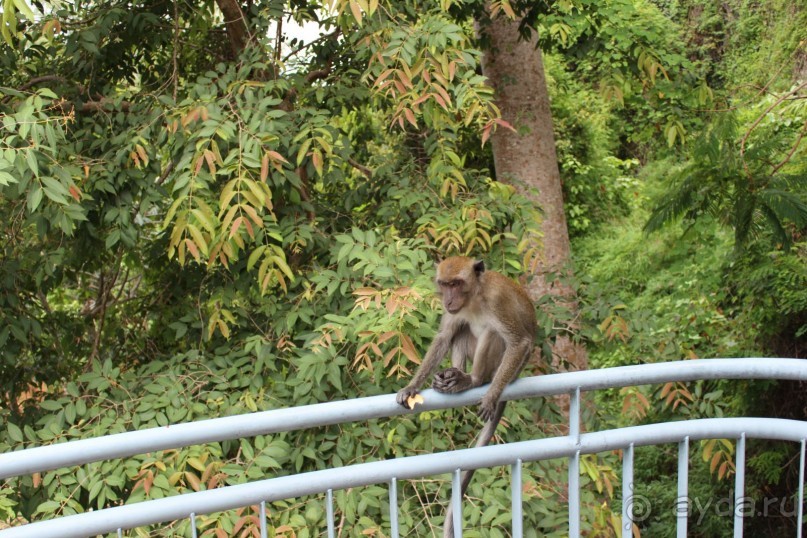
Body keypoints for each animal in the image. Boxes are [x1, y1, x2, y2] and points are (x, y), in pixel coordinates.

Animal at [396, 253, 536, 532]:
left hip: (503, 368)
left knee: (493, 335)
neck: (474, 297)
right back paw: (453, 375)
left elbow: (519, 342)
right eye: (445, 284)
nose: (449, 299)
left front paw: (491, 397)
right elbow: (444, 336)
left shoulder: (497, 301)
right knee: (461, 328)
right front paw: (412, 386)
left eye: (457, 283)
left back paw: (472, 380)